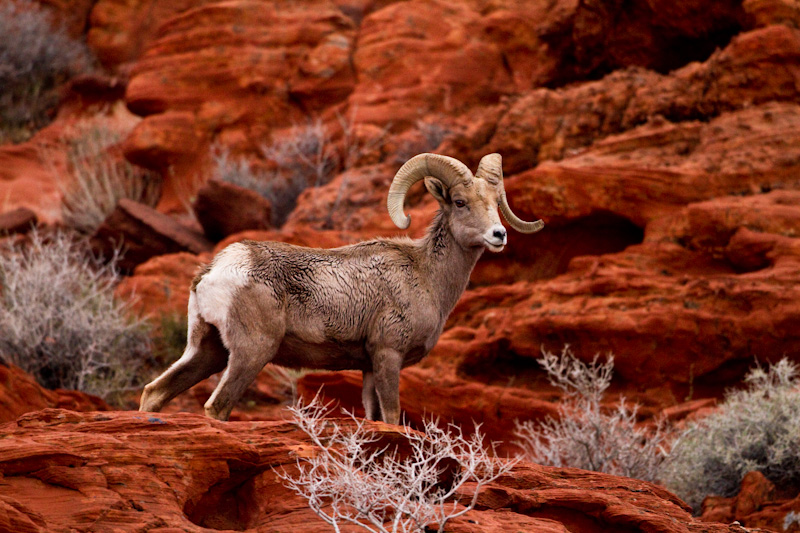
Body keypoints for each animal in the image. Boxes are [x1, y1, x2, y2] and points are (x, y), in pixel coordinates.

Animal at [142, 152, 544, 422]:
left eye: (495, 204)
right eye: (460, 202)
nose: (499, 235)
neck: (427, 276)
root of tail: (213, 272)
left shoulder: (368, 368)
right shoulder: (388, 355)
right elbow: (393, 417)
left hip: (206, 350)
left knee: (154, 393)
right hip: (250, 352)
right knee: (216, 407)